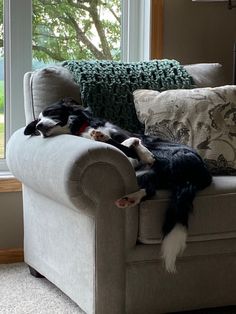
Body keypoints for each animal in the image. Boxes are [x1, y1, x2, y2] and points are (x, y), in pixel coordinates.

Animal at [24, 97, 212, 272]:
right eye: (37, 120)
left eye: (50, 112)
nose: (38, 126)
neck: (81, 127)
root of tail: (201, 176)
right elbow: (127, 148)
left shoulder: (124, 134)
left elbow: (134, 142)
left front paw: (142, 151)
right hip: (149, 173)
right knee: (149, 188)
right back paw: (130, 197)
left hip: (163, 153)